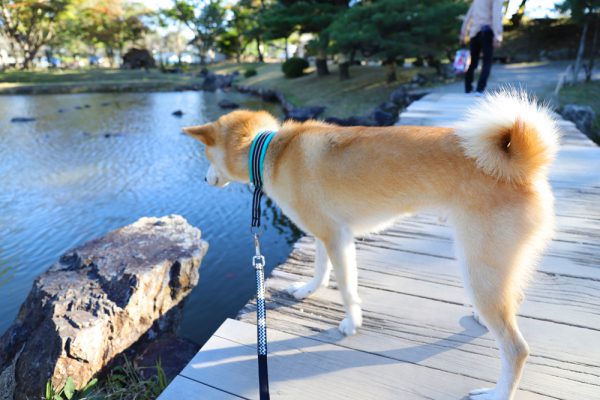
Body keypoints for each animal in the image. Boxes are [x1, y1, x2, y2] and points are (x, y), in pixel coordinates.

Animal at [183, 90, 556, 400]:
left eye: (206, 155)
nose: (202, 178)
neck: (270, 150)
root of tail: (522, 167)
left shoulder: (337, 238)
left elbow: (347, 288)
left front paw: (351, 324)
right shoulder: (324, 233)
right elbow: (320, 269)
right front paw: (307, 290)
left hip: (478, 267)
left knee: (517, 349)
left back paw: (497, 393)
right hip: (497, 268)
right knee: (513, 300)